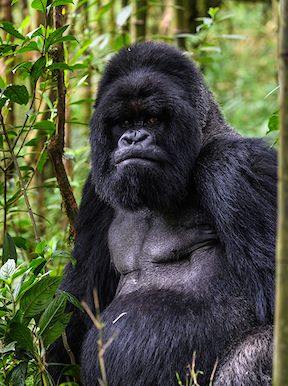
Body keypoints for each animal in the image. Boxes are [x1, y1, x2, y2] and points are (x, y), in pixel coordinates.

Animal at [48, 42, 276, 386]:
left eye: (153, 119)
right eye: (124, 123)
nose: (133, 139)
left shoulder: (237, 165)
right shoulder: (96, 192)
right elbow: (76, 300)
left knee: (256, 350)